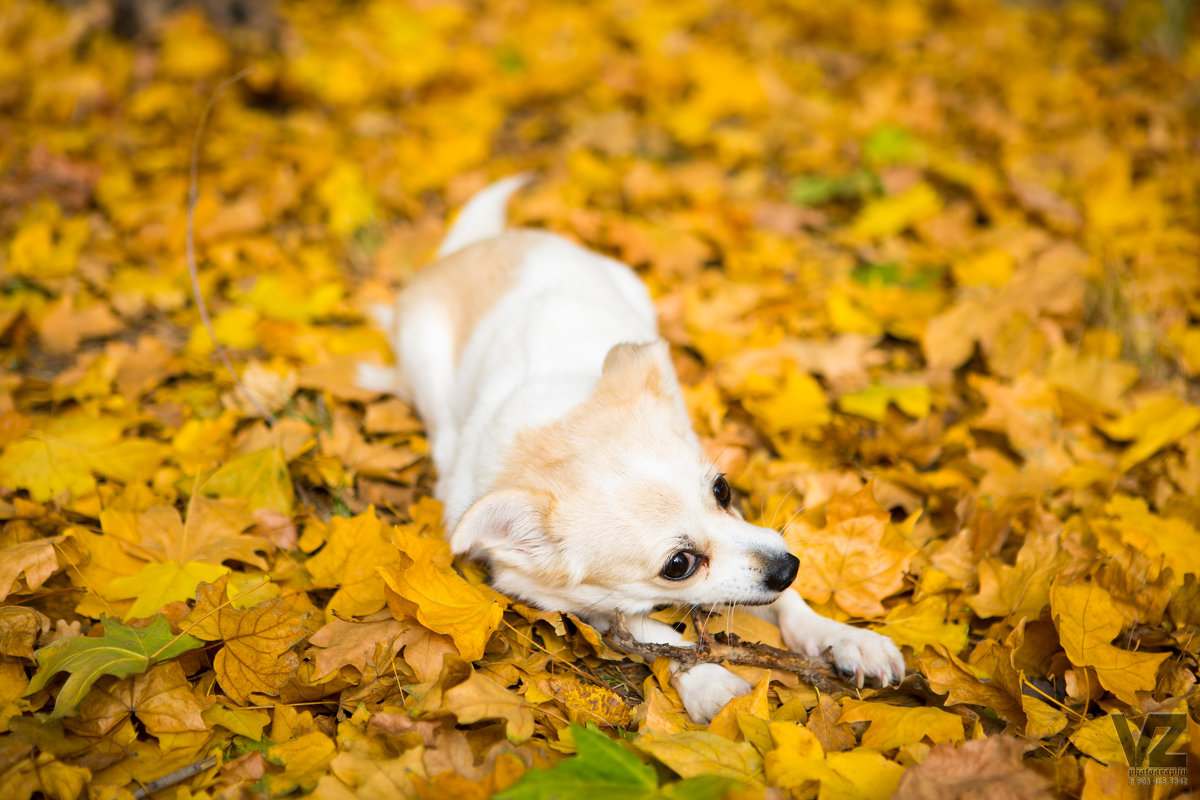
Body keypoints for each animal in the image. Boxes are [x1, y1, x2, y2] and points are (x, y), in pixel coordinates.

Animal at [360, 176, 902, 724]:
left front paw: (841, 636)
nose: (789, 567)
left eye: (723, 490)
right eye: (678, 566)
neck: (552, 427)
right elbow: (657, 632)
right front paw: (710, 682)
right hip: (423, 361)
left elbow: (784, 599)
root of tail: (476, 247)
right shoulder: (557, 597)